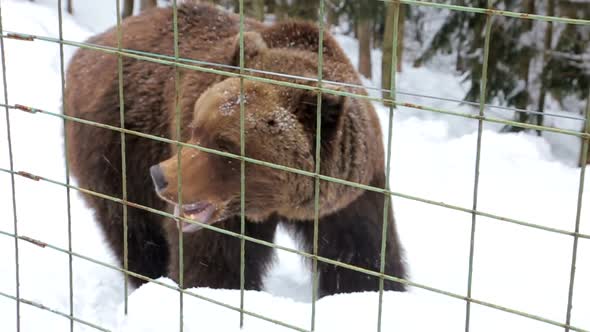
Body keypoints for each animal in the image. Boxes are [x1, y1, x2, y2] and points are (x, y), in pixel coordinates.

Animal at [65, 1, 408, 298]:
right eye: (196, 127)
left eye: (226, 145)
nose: (161, 176)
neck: (279, 203)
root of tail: (93, 44)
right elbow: (213, 261)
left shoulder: (349, 193)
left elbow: (362, 257)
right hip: (115, 145)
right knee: (132, 228)